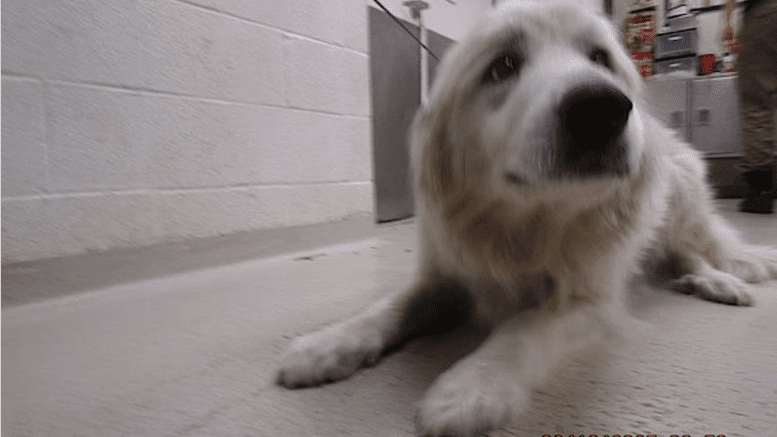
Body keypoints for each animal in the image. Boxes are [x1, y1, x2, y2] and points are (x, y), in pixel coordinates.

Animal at [276, 1, 772, 434]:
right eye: (503, 66)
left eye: (600, 58)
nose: (602, 107)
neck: (528, 224)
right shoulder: (448, 272)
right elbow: (391, 307)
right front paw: (327, 343)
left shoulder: (589, 300)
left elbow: (524, 326)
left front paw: (471, 385)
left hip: (680, 195)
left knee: (690, 250)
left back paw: (716, 281)